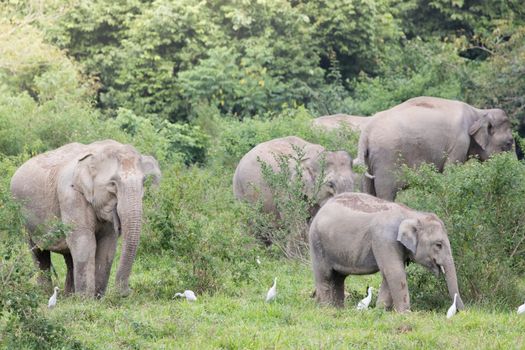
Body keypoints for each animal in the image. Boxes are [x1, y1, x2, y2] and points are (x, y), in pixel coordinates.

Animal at [10, 139, 160, 298]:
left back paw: (69, 295)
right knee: (38, 252)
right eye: (113, 184)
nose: (125, 293)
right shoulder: (71, 196)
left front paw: (98, 297)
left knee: (68, 255)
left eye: (144, 181)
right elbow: (84, 240)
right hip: (23, 217)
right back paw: (46, 293)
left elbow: (107, 244)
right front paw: (86, 299)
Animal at [308, 193, 462, 314]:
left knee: (339, 278)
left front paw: (381, 310)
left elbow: (389, 274)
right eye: (438, 245)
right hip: (317, 243)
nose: (460, 311)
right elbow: (394, 271)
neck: (412, 214)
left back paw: (338, 309)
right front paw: (405, 314)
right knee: (325, 275)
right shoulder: (385, 239)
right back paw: (327, 309)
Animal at [356, 96, 512, 200]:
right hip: (387, 160)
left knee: (368, 190)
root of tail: (366, 132)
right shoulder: (459, 143)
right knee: (386, 193)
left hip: (368, 160)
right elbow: (451, 171)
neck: (479, 112)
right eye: (509, 143)